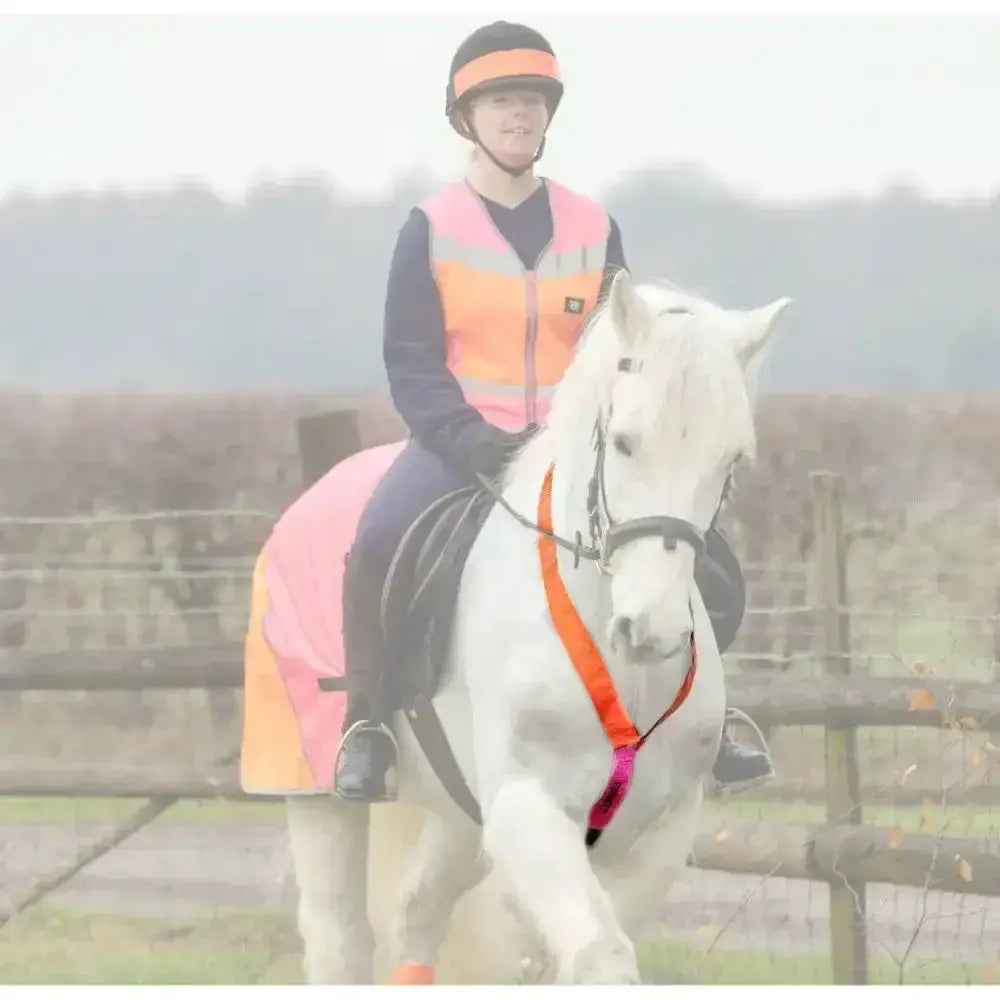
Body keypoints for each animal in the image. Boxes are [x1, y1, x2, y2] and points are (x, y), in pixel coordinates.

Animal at [245, 270, 790, 984]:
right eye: (625, 441)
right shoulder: (524, 809)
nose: (652, 629)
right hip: (319, 799)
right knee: (341, 939)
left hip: (456, 814)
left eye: (731, 462)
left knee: (418, 913)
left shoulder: (661, 831)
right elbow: (600, 955)